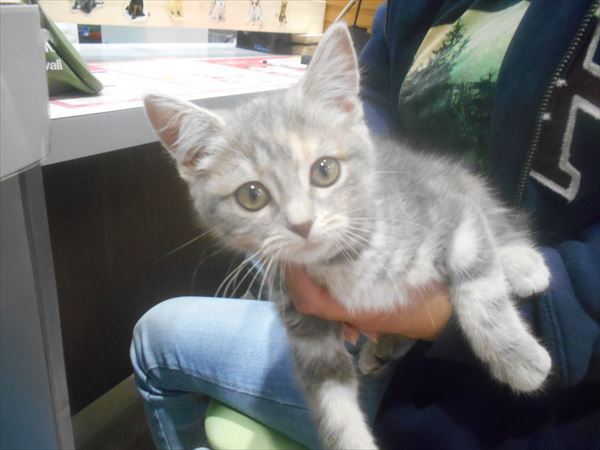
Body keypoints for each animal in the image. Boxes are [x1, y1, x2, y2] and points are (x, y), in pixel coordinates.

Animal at [143, 23, 552, 450]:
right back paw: (384, 346)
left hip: (456, 183)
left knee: (494, 218)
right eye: (251, 196)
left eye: (325, 171)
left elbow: (480, 288)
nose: (302, 224)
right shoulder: (305, 329)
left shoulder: (449, 213)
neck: (345, 260)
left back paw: (523, 263)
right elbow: (331, 401)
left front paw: (519, 358)